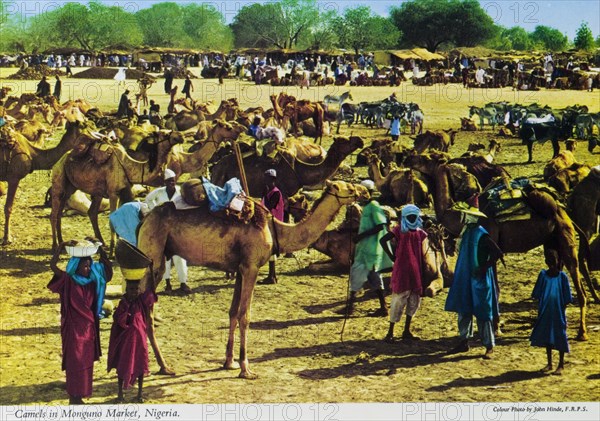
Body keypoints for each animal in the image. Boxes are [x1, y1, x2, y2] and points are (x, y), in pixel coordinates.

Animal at [50, 130, 183, 251]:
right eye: (165, 134)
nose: (180, 136)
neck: (129, 167)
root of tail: (62, 159)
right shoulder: (113, 193)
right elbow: (112, 219)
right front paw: (113, 249)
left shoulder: (123, 191)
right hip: (58, 180)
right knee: (54, 214)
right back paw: (55, 245)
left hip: (76, 188)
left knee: (83, 212)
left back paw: (70, 242)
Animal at [137, 179, 370, 376]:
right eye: (349, 188)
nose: (365, 192)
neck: (276, 231)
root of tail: (145, 219)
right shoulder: (251, 267)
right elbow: (245, 316)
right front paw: (245, 368)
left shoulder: (240, 269)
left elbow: (233, 313)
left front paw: (229, 362)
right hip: (154, 258)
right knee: (145, 308)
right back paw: (162, 367)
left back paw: (156, 366)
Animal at [418, 156, 596, 340]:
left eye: (423, 159)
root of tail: (566, 215)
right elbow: (495, 288)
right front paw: (494, 328)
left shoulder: (490, 246)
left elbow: (494, 288)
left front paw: (496, 329)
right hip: (552, 242)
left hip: (566, 240)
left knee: (579, 285)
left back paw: (582, 332)